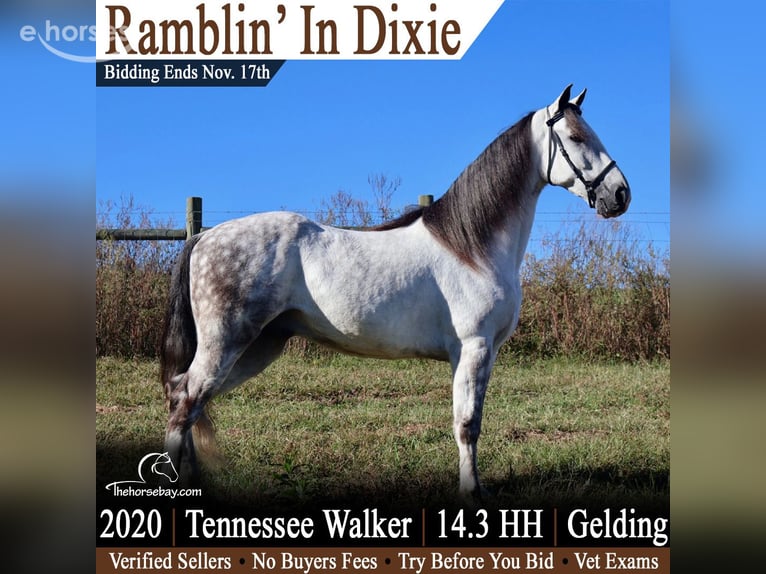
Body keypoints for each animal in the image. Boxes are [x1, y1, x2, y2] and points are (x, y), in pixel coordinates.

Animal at [160, 84, 630, 502]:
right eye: (575, 137)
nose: (620, 194)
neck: (472, 245)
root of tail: (204, 236)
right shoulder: (475, 347)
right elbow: (467, 424)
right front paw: (471, 493)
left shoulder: (474, 354)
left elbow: (468, 420)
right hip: (227, 344)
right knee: (186, 401)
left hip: (260, 346)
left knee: (187, 399)